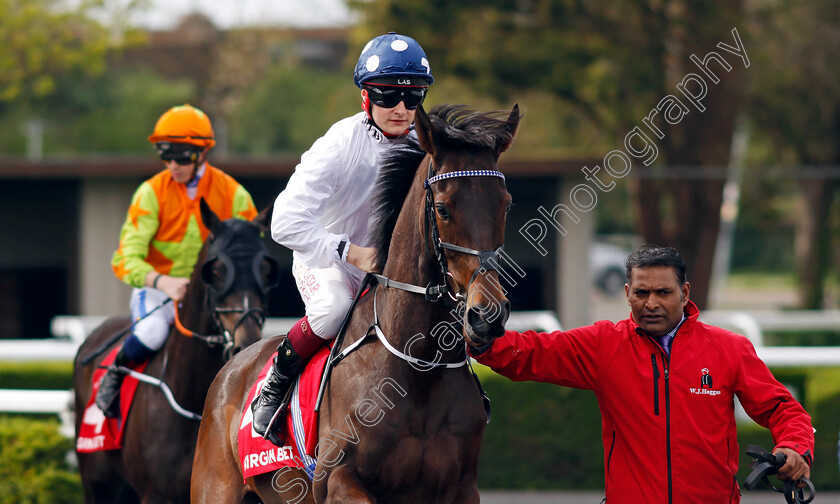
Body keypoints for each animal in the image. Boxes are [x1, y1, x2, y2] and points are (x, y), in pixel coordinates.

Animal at [74, 199, 280, 502]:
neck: (192, 396)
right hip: (97, 480)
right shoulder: (158, 493)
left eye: (266, 271)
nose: (246, 342)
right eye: (215, 272)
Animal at [190, 104, 520, 502]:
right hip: (214, 487)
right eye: (442, 209)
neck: (420, 367)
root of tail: (232, 367)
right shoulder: (337, 479)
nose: (486, 316)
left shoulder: (460, 487)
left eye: (505, 205)